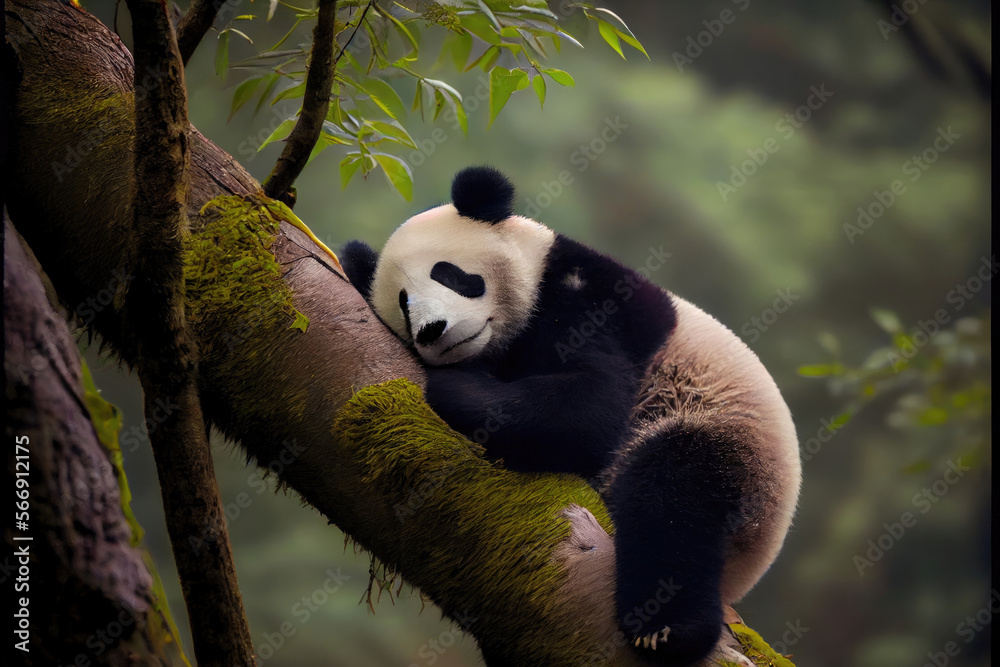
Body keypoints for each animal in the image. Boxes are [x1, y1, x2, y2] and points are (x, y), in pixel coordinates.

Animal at [339, 166, 801, 666]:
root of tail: (753, 561)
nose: (431, 331)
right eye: (403, 303)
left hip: (725, 437)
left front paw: (458, 386)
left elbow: (590, 406)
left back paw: (666, 628)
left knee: (672, 499)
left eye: (450, 275)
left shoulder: (592, 303)